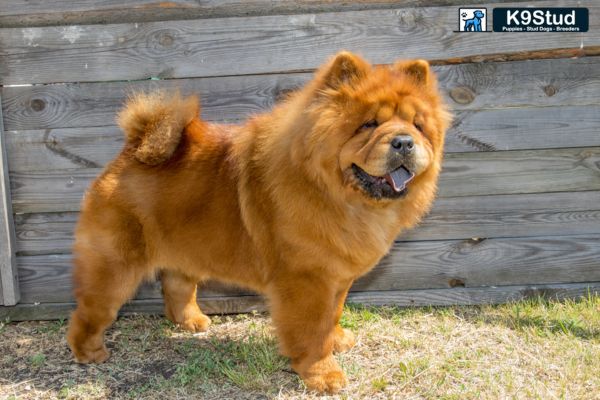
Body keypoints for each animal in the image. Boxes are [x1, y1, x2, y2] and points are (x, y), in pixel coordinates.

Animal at [67, 50, 450, 394]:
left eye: (418, 125)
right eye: (369, 124)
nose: (404, 141)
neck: (341, 197)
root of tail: (133, 149)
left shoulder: (337, 277)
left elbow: (333, 314)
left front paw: (337, 339)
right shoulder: (306, 279)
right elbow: (312, 330)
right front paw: (323, 374)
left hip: (184, 252)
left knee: (176, 287)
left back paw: (193, 322)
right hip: (115, 267)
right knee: (90, 311)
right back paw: (90, 352)